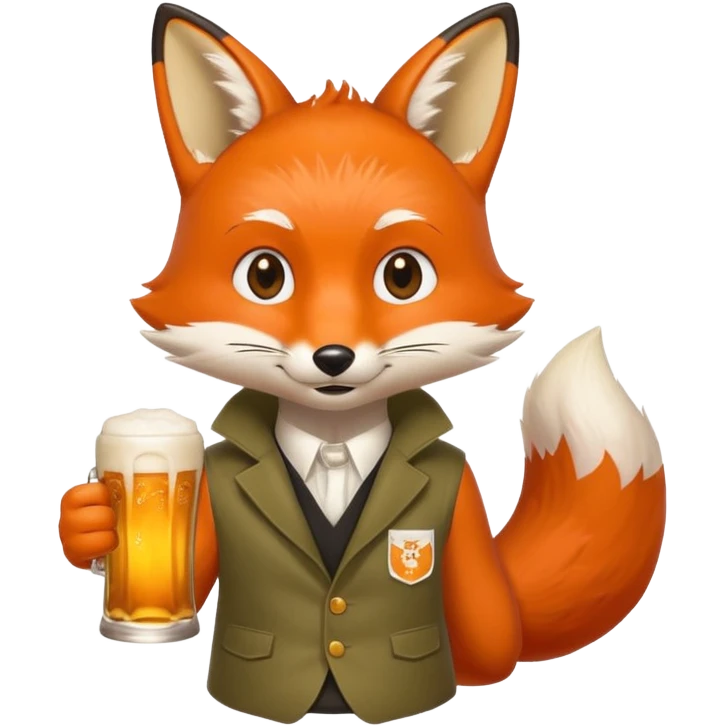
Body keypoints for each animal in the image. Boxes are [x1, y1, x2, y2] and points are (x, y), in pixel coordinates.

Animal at [58, 2, 667, 723]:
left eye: (402, 275)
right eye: (265, 276)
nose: (333, 355)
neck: (334, 435)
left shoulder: (460, 500)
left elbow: (490, 634)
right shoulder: (207, 494)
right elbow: (192, 560)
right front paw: (89, 522)